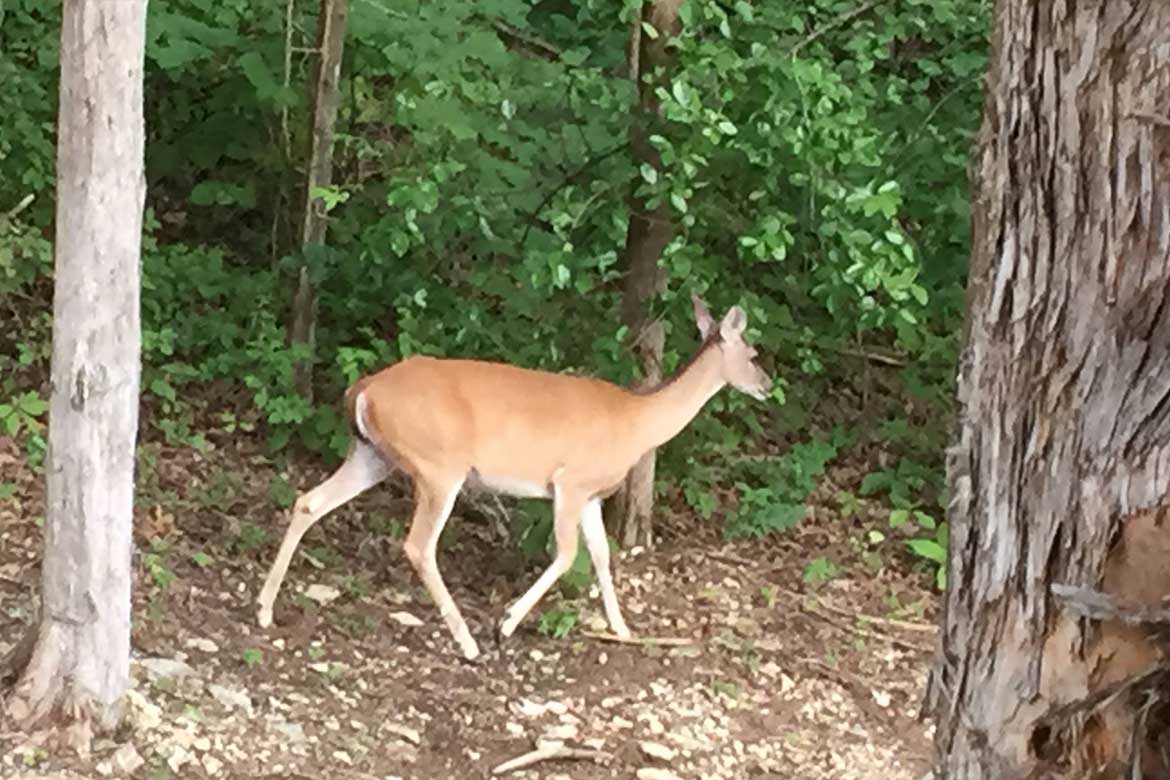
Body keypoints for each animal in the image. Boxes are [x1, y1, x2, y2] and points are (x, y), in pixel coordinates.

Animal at [256, 295, 772, 664]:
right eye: (752, 353)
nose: (767, 385)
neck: (636, 423)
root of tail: (362, 389)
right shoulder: (569, 481)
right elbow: (567, 554)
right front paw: (505, 622)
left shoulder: (591, 495)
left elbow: (602, 555)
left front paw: (623, 629)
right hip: (440, 465)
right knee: (419, 545)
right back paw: (468, 643)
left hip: (372, 454)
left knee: (309, 501)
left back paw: (264, 609)